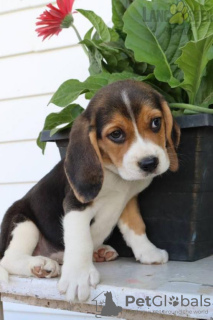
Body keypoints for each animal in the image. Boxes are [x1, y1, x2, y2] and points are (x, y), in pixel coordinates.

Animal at [0, 80, 180, 302]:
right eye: (116, 134)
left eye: (156, 122)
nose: (149, 163)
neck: (114, 174)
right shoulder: (76, 205)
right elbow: (80, 241)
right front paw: (79, 276)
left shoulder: (127, 200)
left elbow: (136, 226)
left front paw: (148, 252)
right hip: (22, 221)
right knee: (8, 259)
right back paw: (40, 265)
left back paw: (99, 253)